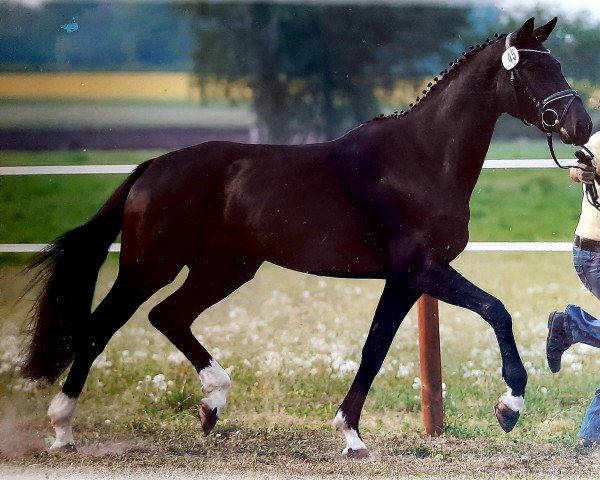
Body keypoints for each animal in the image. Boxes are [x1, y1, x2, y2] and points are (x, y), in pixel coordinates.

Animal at [22, 16, 592, 456]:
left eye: (560, 65)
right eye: (536, 68)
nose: (582, 128)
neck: (421, 160)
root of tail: (151, 168)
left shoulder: (406, 281)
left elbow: (375, 348)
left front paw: (352, 435)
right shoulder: (422, 270)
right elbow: (494, 310)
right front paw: (509, 406)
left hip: (225, 269)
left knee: (169, 316)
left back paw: (212, 403)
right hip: (149, 266)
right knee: (99, 329)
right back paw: (63, 430)